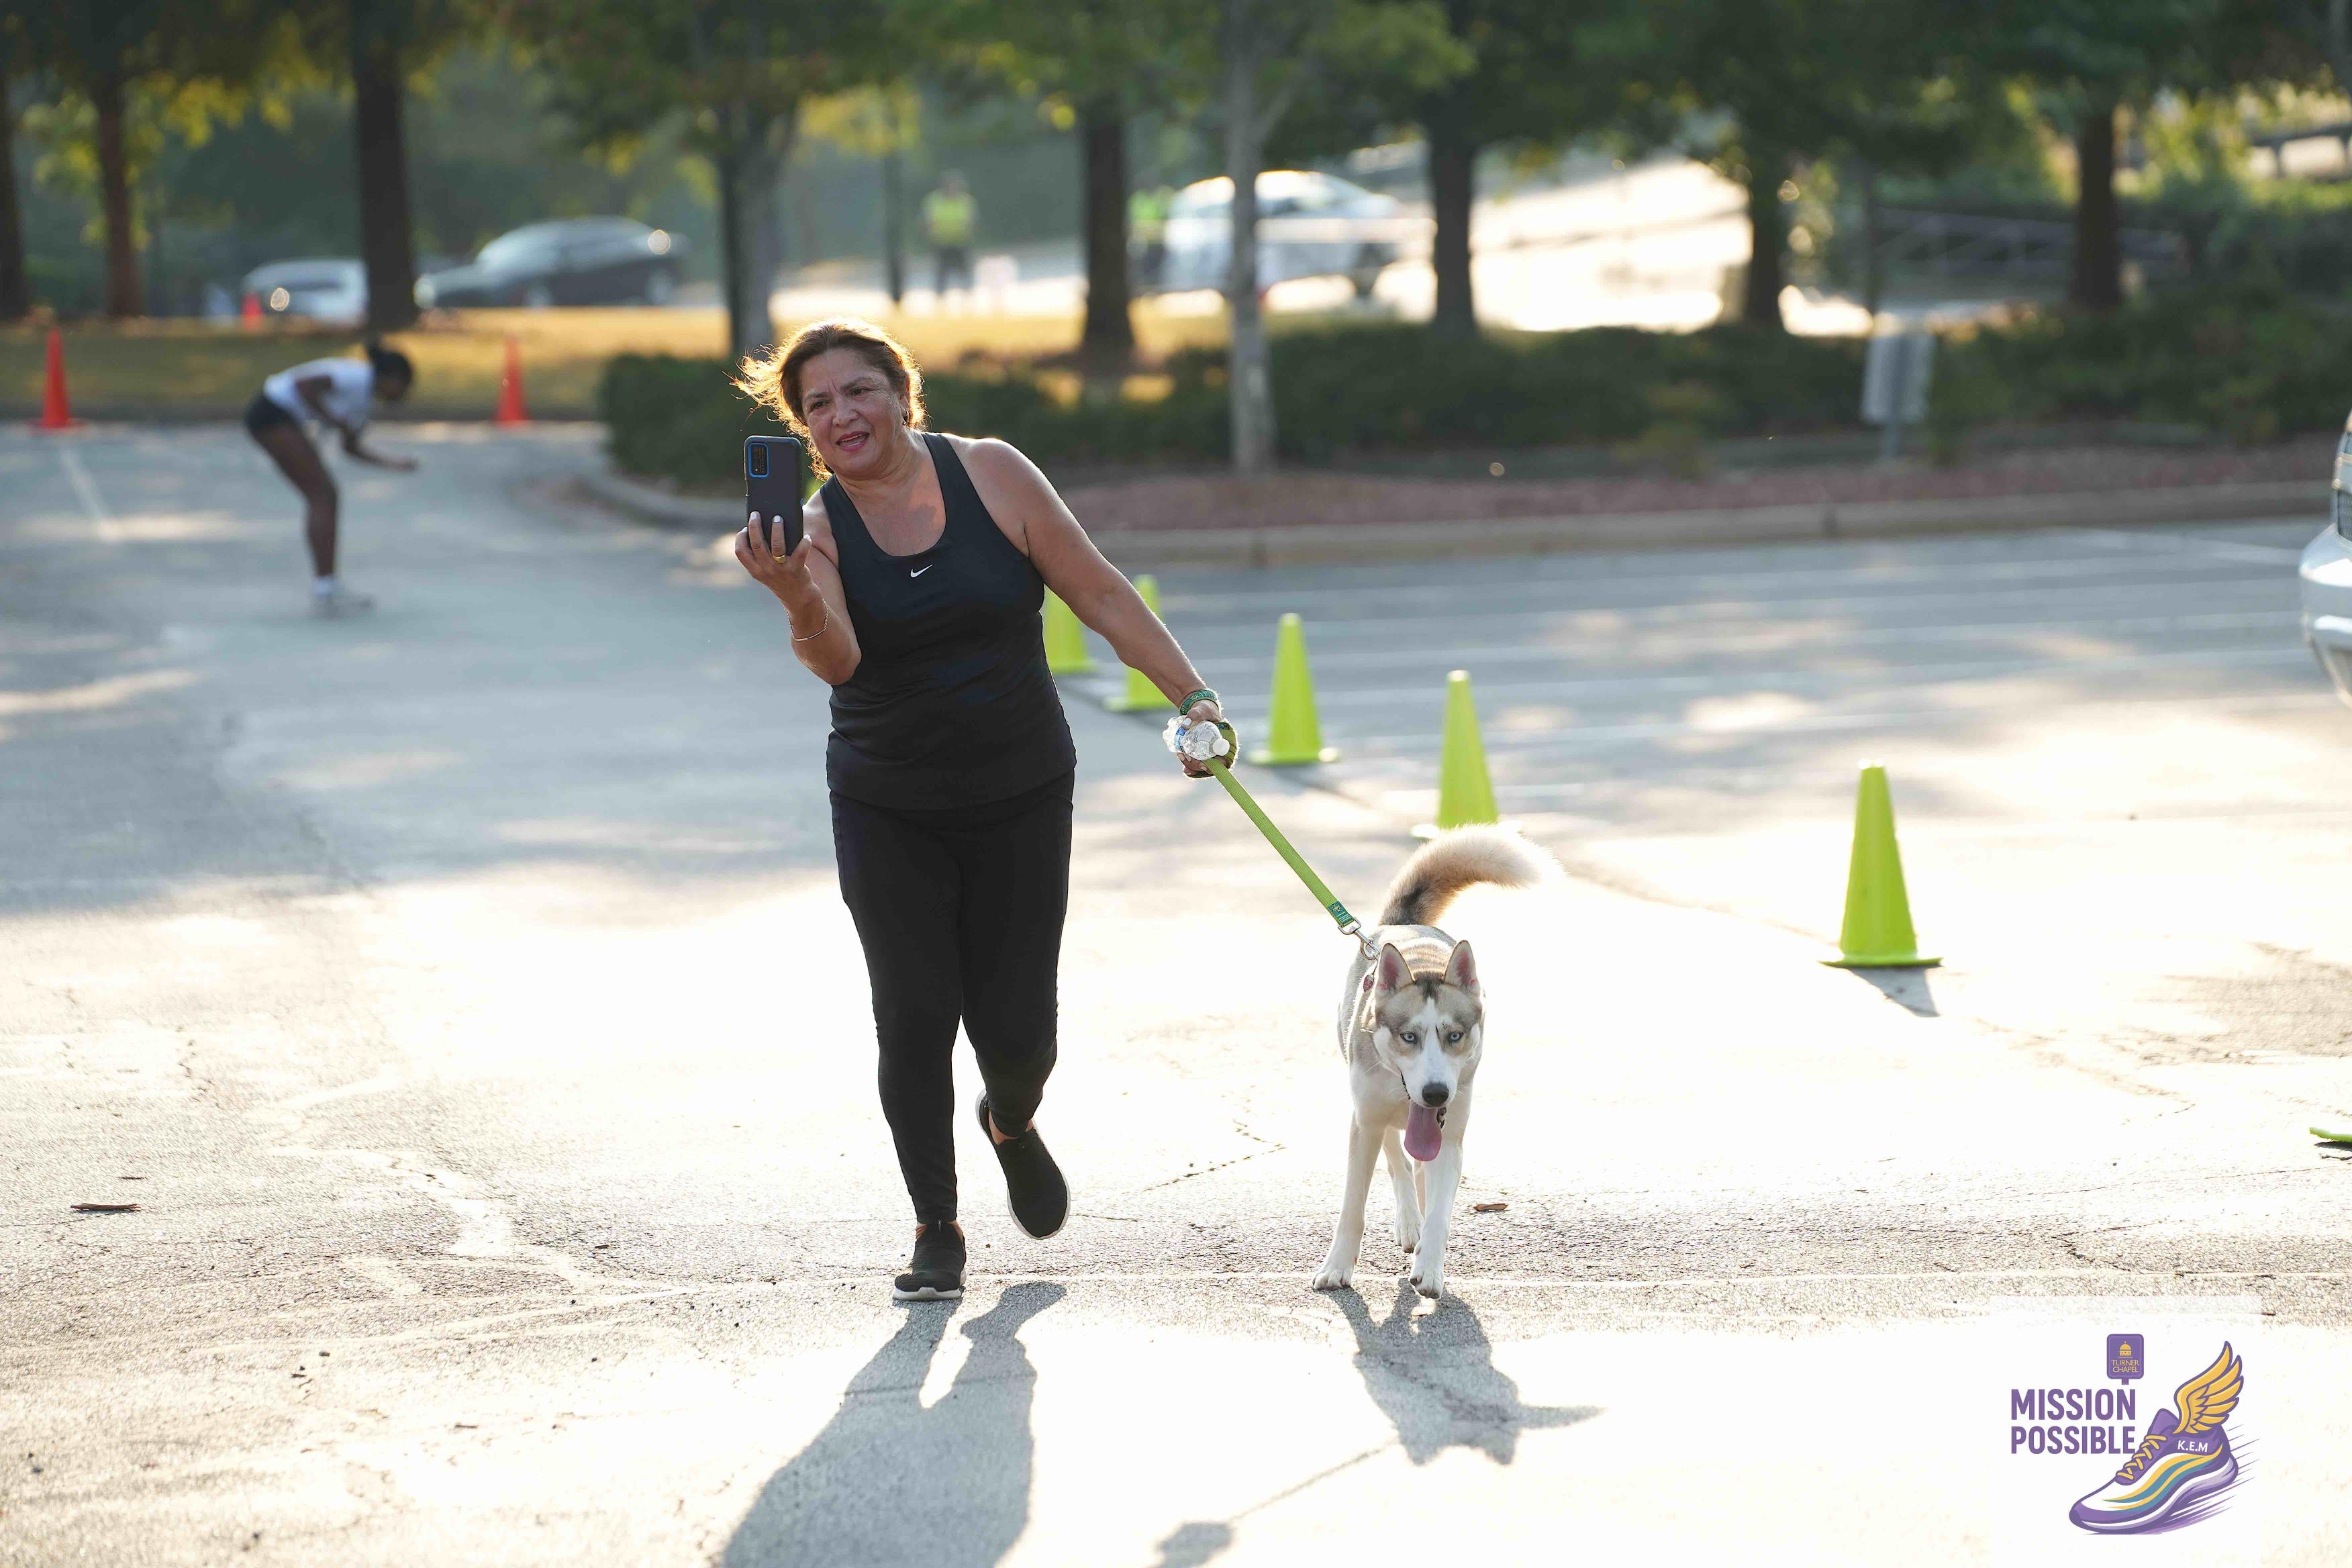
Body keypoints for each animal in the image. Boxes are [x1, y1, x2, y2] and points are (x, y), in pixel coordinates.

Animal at [1311, 826, 1554, 1301]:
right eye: (1409, 1037)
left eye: (1454, 1036)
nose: (1436, 1092)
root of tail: (1403, 925)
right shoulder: (1364, 1121)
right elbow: (1354, 1206)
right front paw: (1337, 1268)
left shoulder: (1452, 1132)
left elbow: (1441, 1204)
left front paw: (1430, 1266)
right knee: (1397, 1158)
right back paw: (1409, 1221)